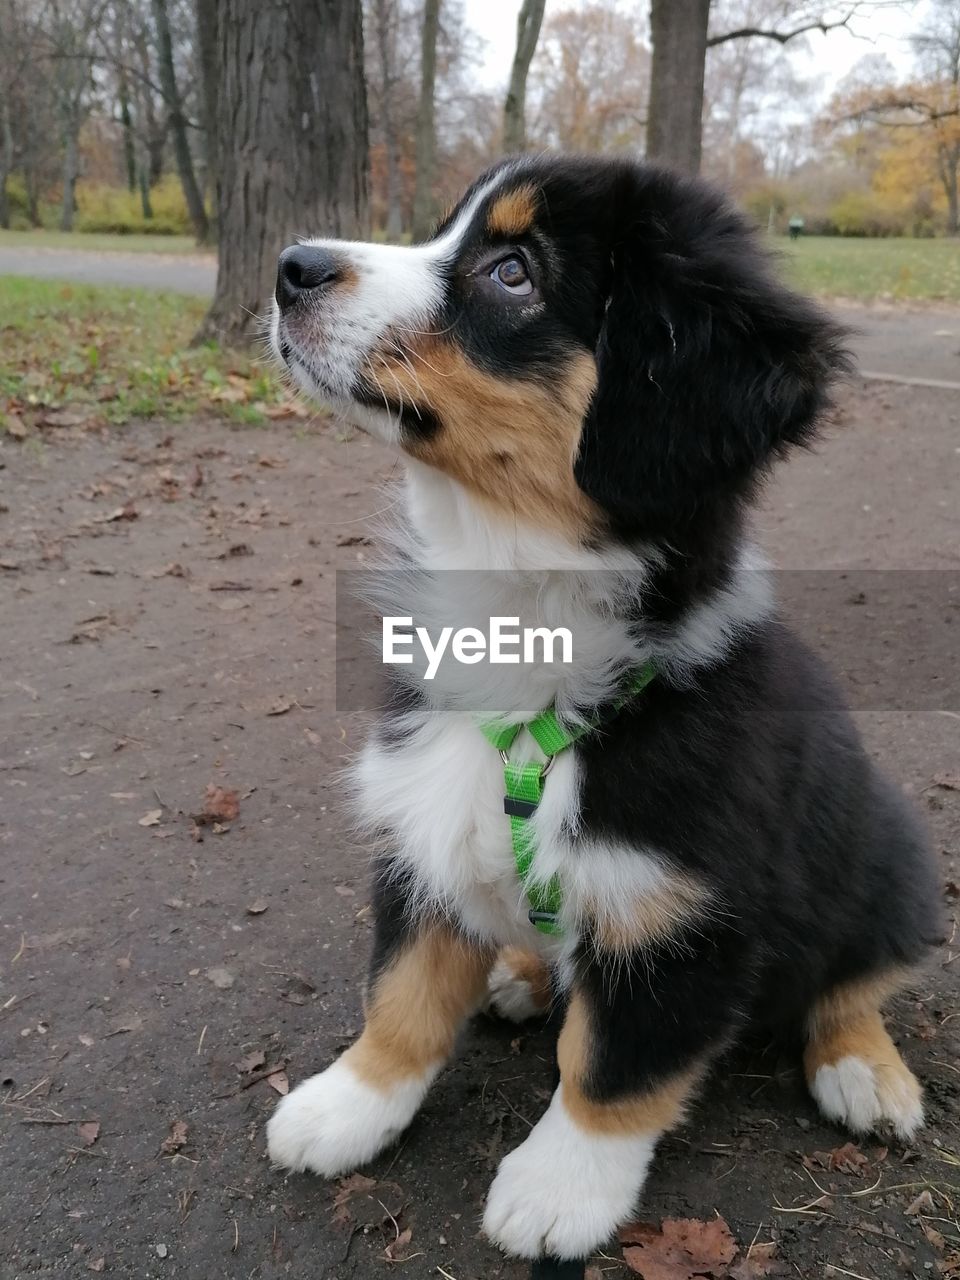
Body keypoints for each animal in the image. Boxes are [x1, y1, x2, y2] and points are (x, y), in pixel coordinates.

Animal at [263, 152, 942, 1259]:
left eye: (512, 273)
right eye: (443, 228)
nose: (290, 267)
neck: (523, 620)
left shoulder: (683, 910)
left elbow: (615, 1066)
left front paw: (557, 1189)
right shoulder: (425, 829)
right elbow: (403, 992)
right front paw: (345, 1104)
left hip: (885, 850)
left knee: (854, 975)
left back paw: (864, 1069)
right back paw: (522, 973)